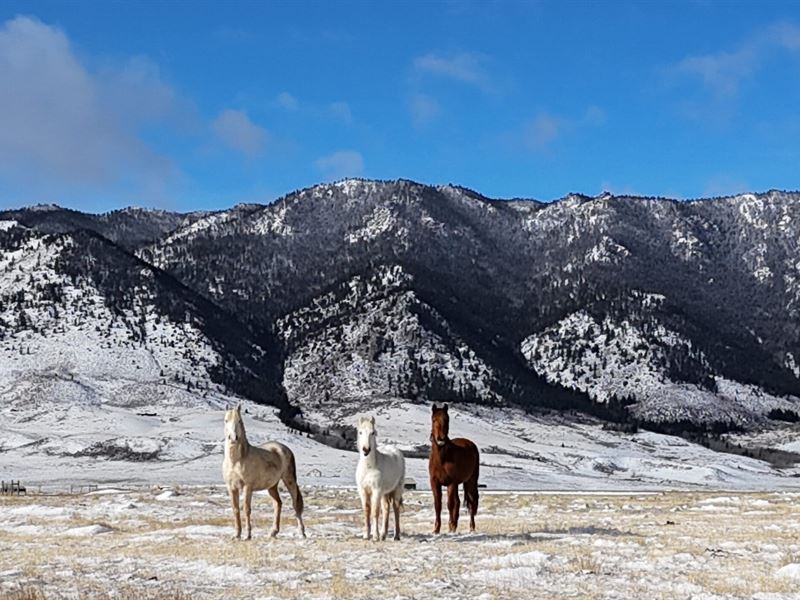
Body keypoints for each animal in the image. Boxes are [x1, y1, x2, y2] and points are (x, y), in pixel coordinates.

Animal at [222, 406, 306, 540]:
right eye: (226, 420)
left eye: (239, 421)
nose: (233, 437)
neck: (237, 460)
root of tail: (283, 448)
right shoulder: (231, 488)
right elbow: (235, 509)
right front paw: (236, 535)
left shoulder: (247, 487)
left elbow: (246, 509)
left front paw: (248, 535)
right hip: (272, 486)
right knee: (278, 504)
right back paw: (273, 532)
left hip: (289, 480)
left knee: (295, 504)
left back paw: (302, 533)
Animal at [428, 404, 478, 536]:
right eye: (434, 419)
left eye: (447, 419)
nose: (441, 439)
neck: (442, 458)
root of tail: (470, 443)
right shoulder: (435, 483)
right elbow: (438, 505)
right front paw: (436, 529)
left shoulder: (451, 483)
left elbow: (450, 504)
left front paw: (450, 526)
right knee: (458, 502)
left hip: (470, 481)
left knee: (471, 503)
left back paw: (471, 528)